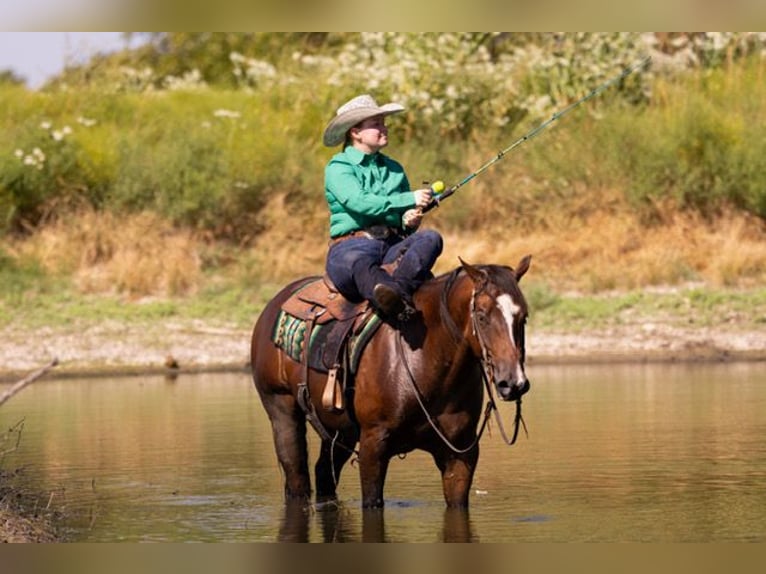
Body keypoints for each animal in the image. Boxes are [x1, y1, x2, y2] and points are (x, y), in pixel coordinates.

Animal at [250, 255, 531, 509]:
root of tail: (273, 305)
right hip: (282, 410)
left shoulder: (461, 454)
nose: (513, 383)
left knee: (324, 474)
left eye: (524, 317)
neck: (424, 359)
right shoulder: (373, 447)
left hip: (340, 430)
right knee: (296, 475)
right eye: (482, 316)